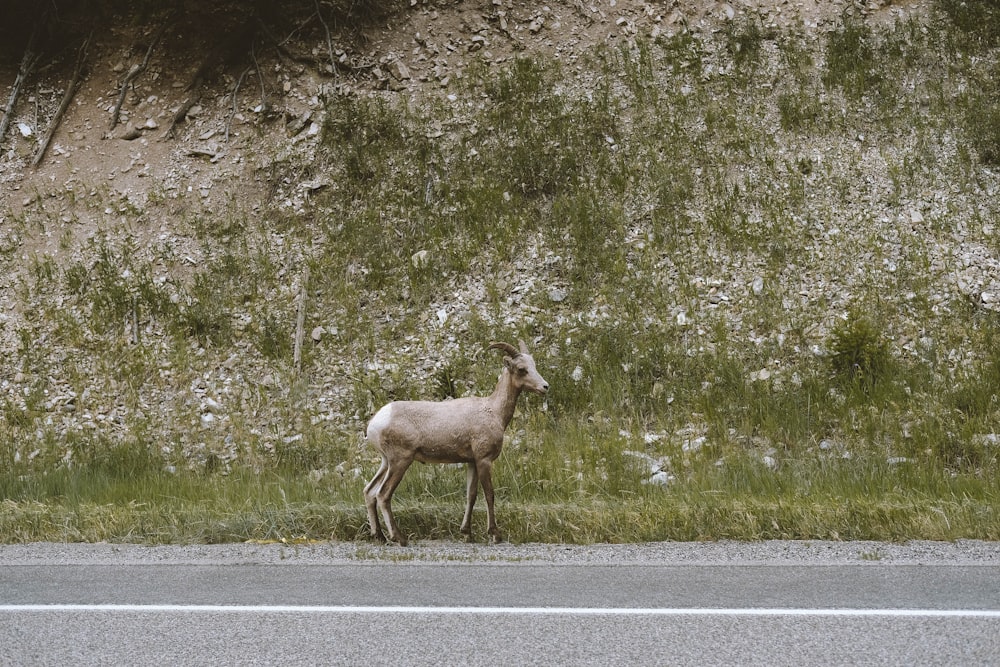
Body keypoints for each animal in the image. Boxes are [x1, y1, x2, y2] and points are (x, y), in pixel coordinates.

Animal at [362, 342, 548, 544]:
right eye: (522, 369)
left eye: (534, 365)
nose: (545, 386)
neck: (494, 411)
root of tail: (375, 423)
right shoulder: (484, 460)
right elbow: (489, 494)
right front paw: (495, 534)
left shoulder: (472, 462)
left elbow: (471, 495)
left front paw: (467, 533)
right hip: (400, 461)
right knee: (383, 494)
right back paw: (399, 538)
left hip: (386, 462)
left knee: (369, 491)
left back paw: (379, 536)